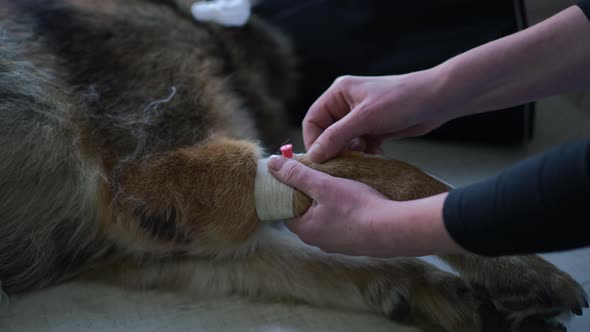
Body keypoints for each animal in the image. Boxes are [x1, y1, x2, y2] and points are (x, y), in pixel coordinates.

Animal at [0, 0, 588, 332]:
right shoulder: (149, 179)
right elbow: (387, 171)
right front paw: (517, 266)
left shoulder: (148, 242)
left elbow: (318, 259)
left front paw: (436, 289)